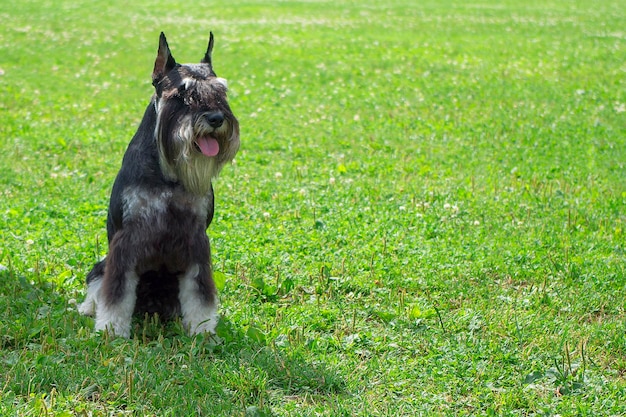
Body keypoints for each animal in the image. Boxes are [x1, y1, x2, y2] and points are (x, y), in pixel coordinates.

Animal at [79, 32, 240, 338]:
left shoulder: (196, 240)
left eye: (221, 92)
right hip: (101, 265)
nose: (216, 119)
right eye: (180, 94)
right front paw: (112, 330)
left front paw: (203, 330)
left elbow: (200, 292)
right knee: (97, 286)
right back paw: (87, 309)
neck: (169, 173)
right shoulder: (126, 240)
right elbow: (116, 292)